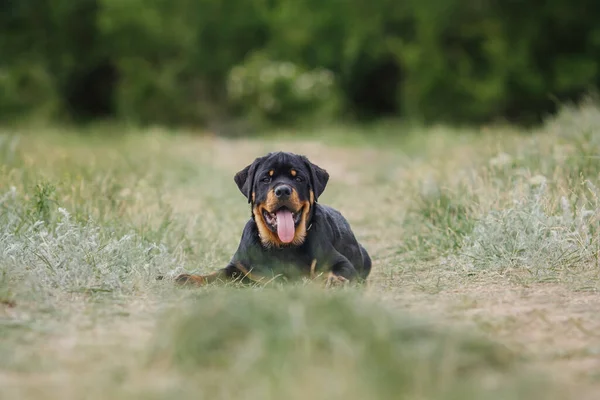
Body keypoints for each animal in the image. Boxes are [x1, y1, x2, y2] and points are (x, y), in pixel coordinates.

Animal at [175, 152, 370, 286]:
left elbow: (336, 272)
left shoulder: (339, 262)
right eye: (265, 179)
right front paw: (191, 278)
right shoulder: (240, 267)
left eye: (298, 178)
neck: (283, 247)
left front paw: (335, 282)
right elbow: (216, 275)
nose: (283, 190)